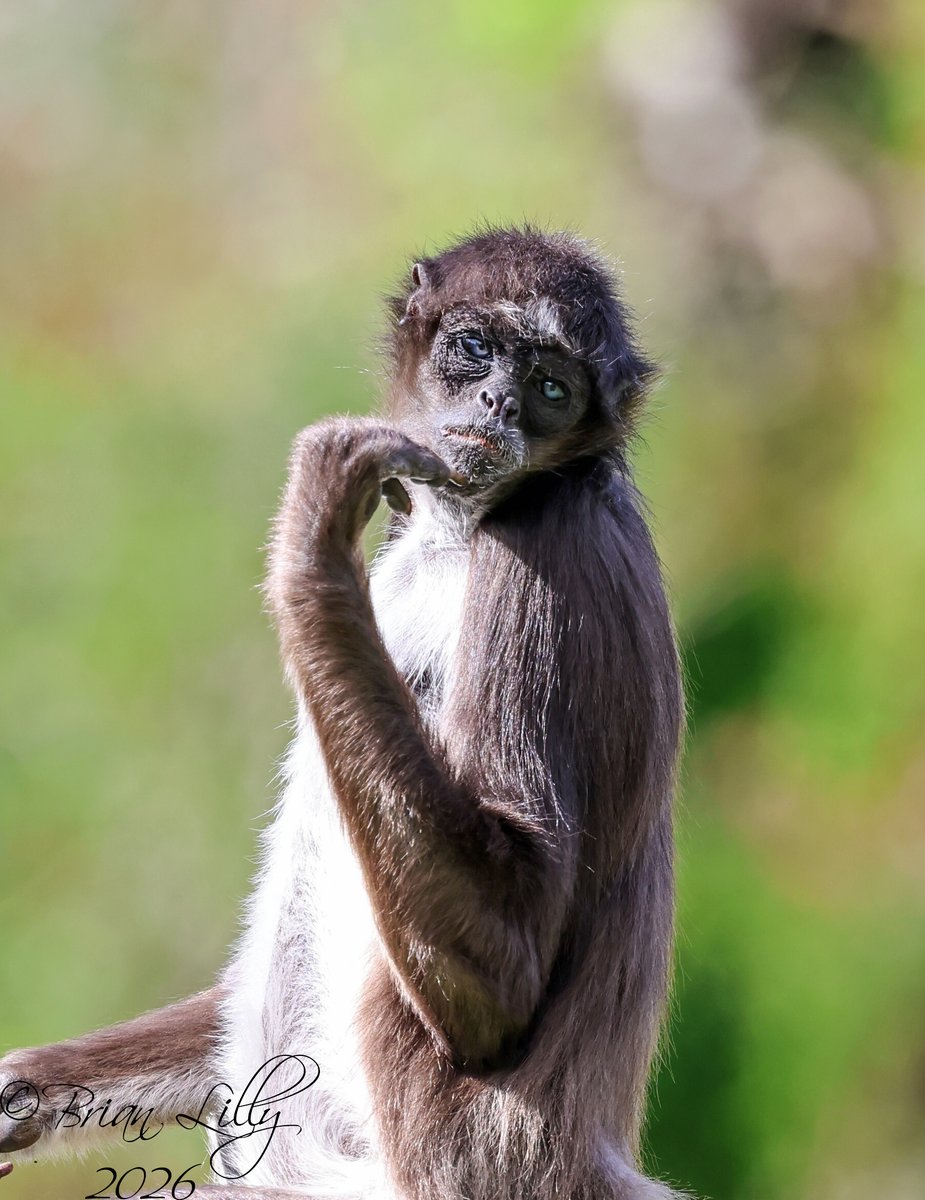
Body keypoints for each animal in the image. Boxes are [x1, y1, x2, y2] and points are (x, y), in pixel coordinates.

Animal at [0, 227, 685, 1200]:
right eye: (473, 348)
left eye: (552, 387)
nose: (500, 401)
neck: (465, 527)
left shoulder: (553, 545)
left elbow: (505, 978)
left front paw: (313, 548)